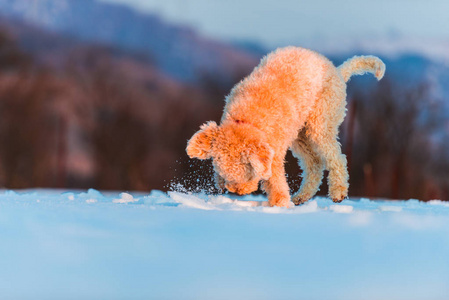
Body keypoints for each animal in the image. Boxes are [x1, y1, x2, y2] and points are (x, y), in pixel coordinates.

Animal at [186, 46, 384, 206]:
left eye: (250, 173)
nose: (238, 192)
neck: (248, 120)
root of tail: (337, 72)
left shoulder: (274, 152)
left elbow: (275, 181)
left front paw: (279, 205)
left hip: (320, 123)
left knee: (337, 158)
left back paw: (338, 192)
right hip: (300, 135)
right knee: (314, 164)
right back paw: (301, 197)